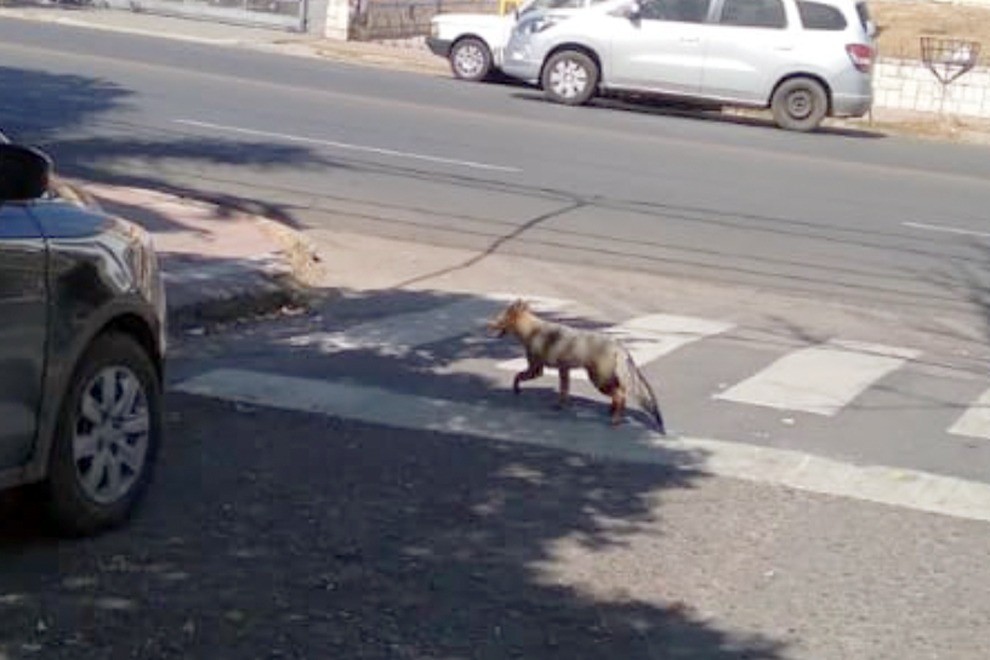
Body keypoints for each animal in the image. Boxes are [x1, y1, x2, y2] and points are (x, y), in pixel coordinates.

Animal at [488, 299, 666, 434]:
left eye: (498, 320)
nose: (488, 325)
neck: (533, 330)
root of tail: (618, 345)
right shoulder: (563, 369)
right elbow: (564, 391)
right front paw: (560, 405)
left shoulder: (536, 369)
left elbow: (517, 376)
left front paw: (516, 389)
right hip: (604, 379)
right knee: (620, 393)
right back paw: (612, 412)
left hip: (598, 380)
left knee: (620, 395)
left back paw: (615, 420)